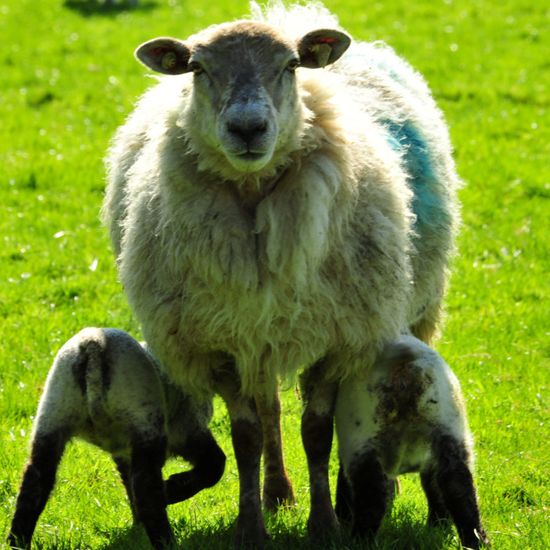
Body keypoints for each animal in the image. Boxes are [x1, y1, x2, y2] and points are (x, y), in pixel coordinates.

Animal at [6, 330, 226, 548]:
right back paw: (166, 540)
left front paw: (139, 525)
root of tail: (94, 345)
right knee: (146, 489)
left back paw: (16, 541)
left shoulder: (124, 451)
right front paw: (173, 489)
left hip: (54, 412)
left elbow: (128, 482)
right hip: (144, 416)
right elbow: (215, 465)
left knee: (35, 482)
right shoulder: (186, 429)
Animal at [102, 1, 462, 544]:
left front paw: (325, 525)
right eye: (197, 69)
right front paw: (252, 525)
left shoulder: (338, 337)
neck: (255, 201)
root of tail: (292, 19)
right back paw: (277, 493)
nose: (248, 128)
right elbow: (247, 435)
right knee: (269, 408)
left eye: (290, 67)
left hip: (415, 307)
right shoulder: (222, 342)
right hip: (260, 332)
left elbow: (316, 432)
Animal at [336, 334, 492, 548]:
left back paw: (360, 540)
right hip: (449, 429)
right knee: (459, 487)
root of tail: (406, 369)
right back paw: (476, 541)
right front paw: (438, 526)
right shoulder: (431, 459)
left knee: (372, 495)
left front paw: (343, 517)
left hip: (361, 436)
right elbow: (436, 489)